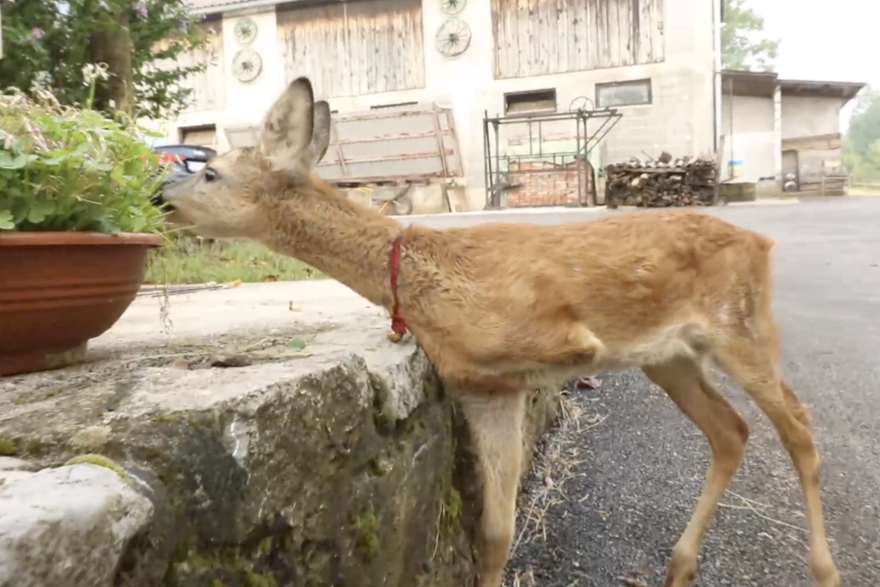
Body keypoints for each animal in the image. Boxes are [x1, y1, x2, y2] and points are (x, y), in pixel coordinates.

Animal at [155, 78, 844, 587]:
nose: (160, 199)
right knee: (732, 431)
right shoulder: (487, 389)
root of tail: (759, 241)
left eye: (211, 174)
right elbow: (494, 534)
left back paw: (824, 569)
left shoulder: (549, 350)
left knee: (800, 429)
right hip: (670, 356)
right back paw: (678, 567)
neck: (423, 280)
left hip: (742, 327)